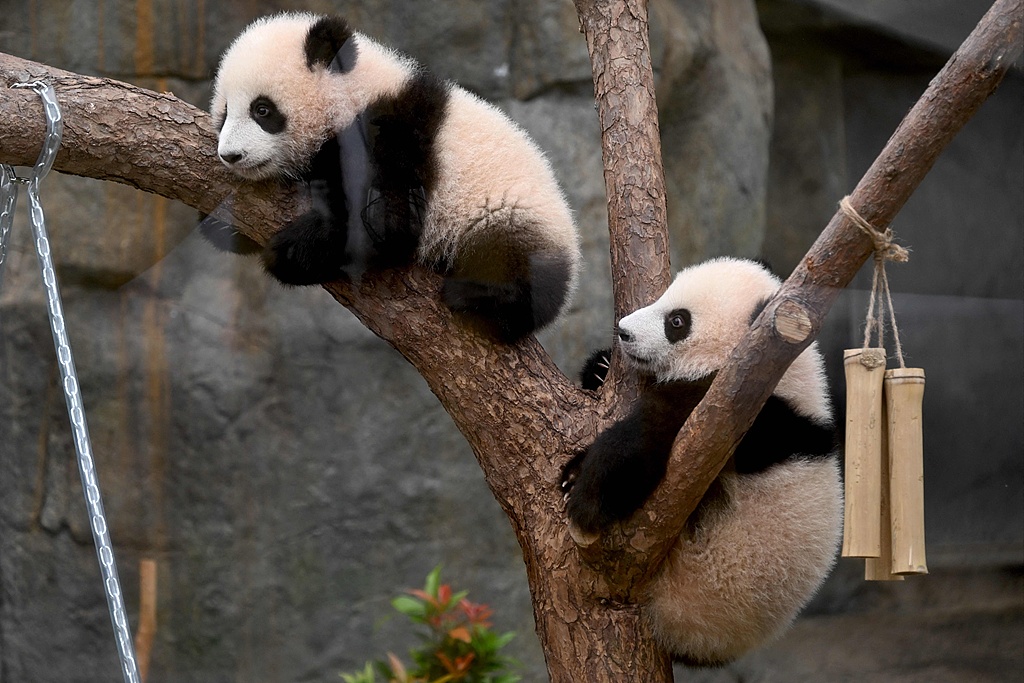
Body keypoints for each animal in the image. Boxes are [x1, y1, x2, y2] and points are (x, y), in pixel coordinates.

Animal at [209, 12, 581, 341]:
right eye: (225, 113)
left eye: (262, 110)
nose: (230, 156)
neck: (352, 93)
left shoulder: (394, 134)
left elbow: (390, 223)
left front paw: (292, 248)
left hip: (510, 212)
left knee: (513, 259)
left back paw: (480, 296)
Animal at [562, 257, 843, 666]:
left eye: (677, 322)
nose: (623, 332)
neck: (784, 374)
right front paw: (598, 369)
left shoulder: (738, 412)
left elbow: (652, 435)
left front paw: (587, 496)